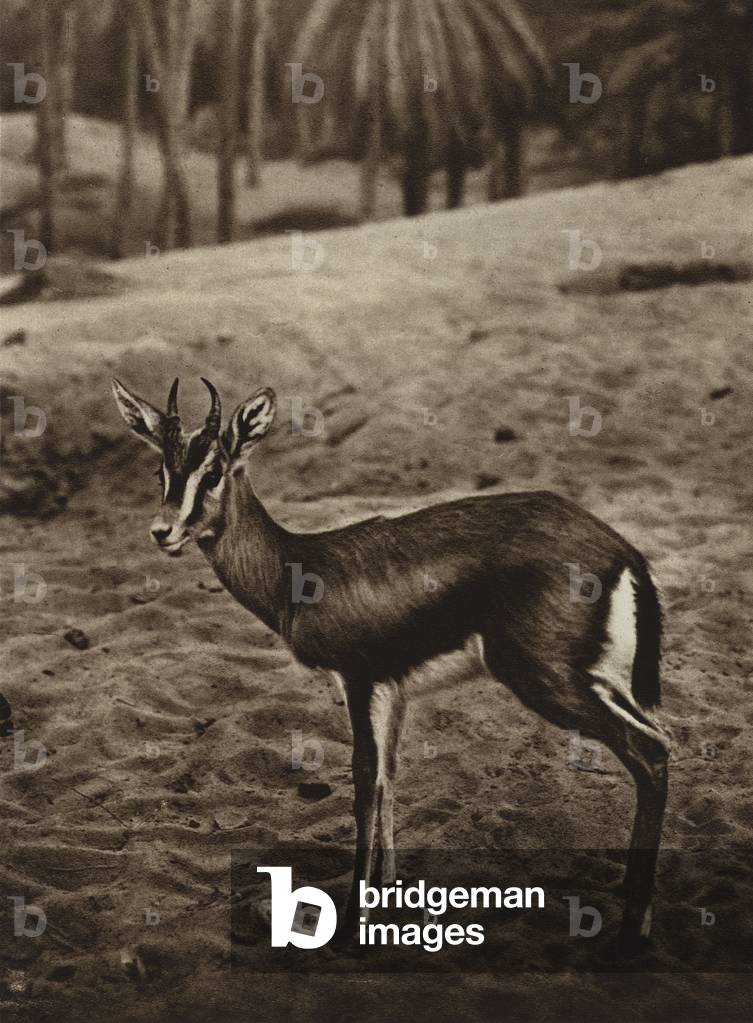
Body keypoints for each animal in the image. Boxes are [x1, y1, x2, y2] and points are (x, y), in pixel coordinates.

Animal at [112, 376, 670, 955]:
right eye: (161, 472)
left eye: (213, 472)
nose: (162, 531)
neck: (295, 573)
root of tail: (622, 551)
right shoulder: (395, 691)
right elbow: (388, 779)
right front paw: (386, 895)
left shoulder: (360, 680)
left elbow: (363, 780)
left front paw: (353, 918)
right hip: (598, 680)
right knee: (658, 739)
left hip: (547, 680)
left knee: (649, 750)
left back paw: (632, 933)